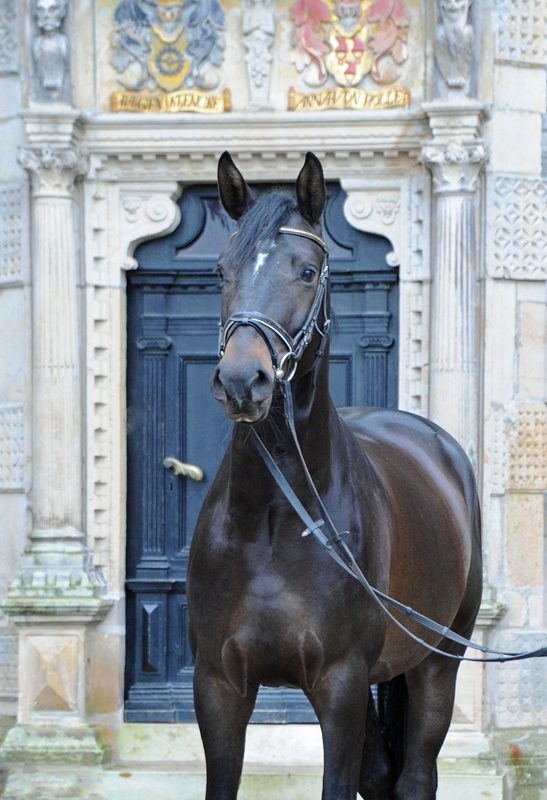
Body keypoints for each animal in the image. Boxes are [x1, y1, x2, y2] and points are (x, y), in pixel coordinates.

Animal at [186, 152, 482, 800]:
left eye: (306, 270)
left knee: (415, 776)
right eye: (220, 271)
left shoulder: (340, 686)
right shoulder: (217, 685)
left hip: (438, 662)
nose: (243, 381)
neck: (276, 518)